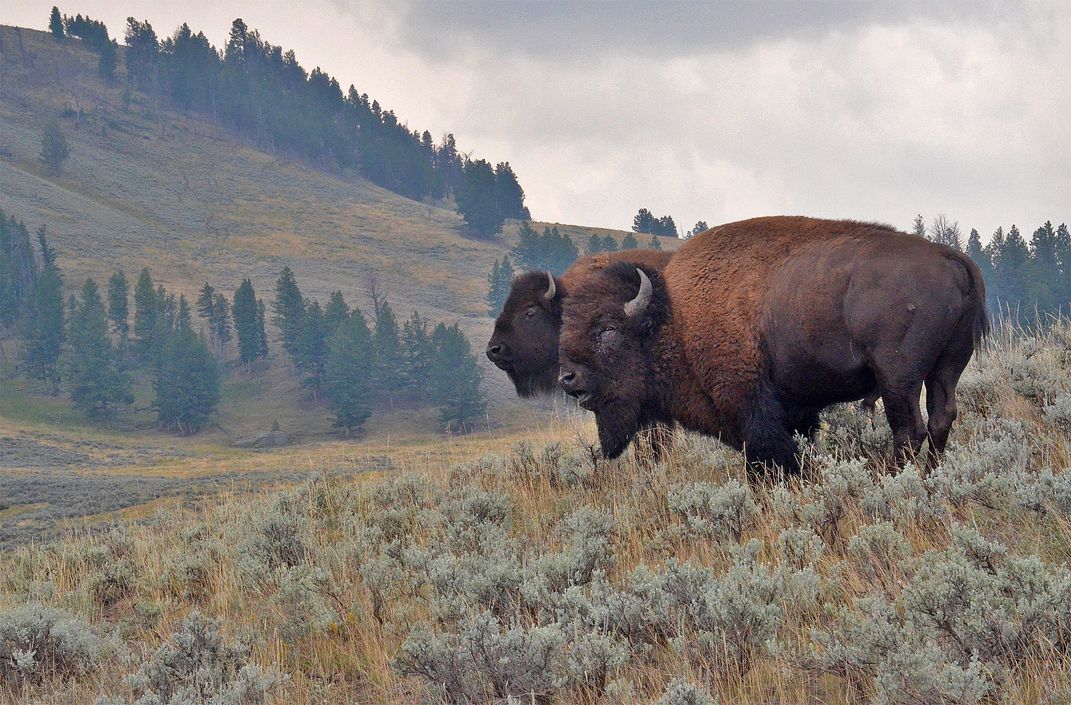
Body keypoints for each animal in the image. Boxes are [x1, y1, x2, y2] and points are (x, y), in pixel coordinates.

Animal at [561, 214, 985, 471]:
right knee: (941, 417)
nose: (568, 378)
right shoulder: (795, 411)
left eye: (608, 330)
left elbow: (768, 459)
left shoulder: (751, 408)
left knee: (909, 430)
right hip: (946, 367)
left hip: (898, 377)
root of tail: (953, 258)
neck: (674, 317)